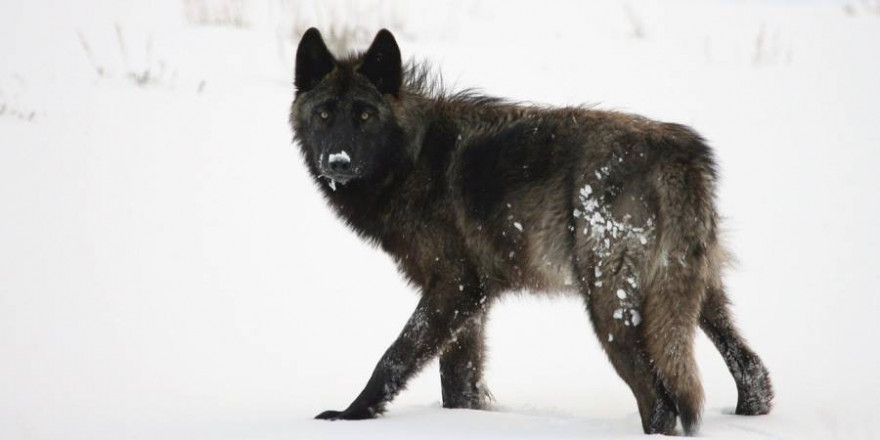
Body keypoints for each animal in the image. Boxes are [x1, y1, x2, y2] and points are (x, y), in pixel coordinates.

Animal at [288, 28, 768, 436]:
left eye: (365, 115)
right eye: (324, 114)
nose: (338, 161)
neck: (412, 158)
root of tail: (680, 153)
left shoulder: (454, 287)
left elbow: (394, 357)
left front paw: (349, 415)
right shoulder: (472, 303)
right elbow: (457, 383)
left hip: (610, 307)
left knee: (661, 402)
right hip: (693, 296)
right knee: (753, 371)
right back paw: (750, 410)